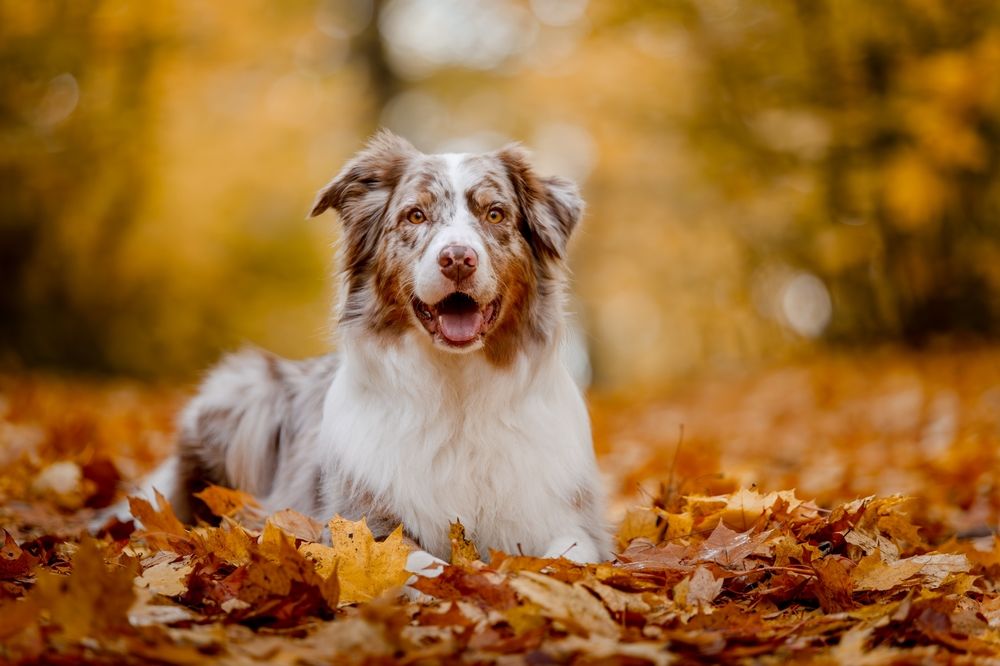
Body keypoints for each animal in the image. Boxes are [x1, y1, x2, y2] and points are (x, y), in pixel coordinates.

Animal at [136, 131, 604, 564]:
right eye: (415, 215)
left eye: (495, 213)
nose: (457, 259)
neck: (458, 394)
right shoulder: (363, 524)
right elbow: (422, 565)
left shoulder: (574, 523)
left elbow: (561, 563)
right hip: (244, 388)